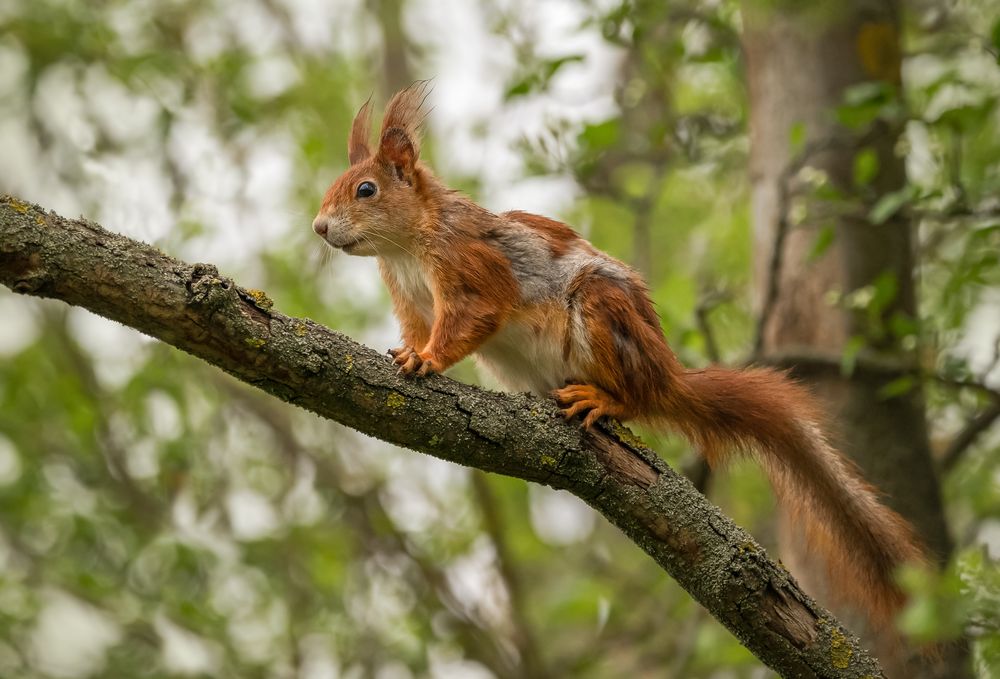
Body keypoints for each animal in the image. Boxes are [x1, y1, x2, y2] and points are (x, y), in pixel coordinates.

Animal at [314, 83, 928, 632]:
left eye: (365, 189)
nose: (319, 227)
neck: (406, 247)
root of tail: (667, 376)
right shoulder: (410, 298)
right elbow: (418, 331)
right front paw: (408, 351)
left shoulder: (472, 269)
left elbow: (471, 319)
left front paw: (427, 362)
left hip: (600, 314)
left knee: (635, 399)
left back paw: (602, 399)